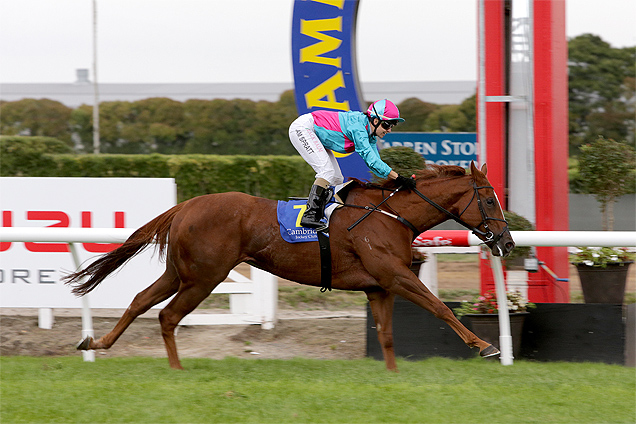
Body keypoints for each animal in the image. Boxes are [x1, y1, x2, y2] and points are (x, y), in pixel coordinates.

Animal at [64, 162, 516, 372]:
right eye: (488, 199)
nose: (507, 242)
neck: (389, 215)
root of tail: (186, 205)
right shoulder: (395, 276)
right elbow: (439, 307)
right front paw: (485, 345)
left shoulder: (378, 286)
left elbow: (387, 335)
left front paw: (392, 374)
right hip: (205, 277)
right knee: (168, 315)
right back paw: (176, 369)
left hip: (182, 272)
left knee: (141, 301)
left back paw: (95, 343)